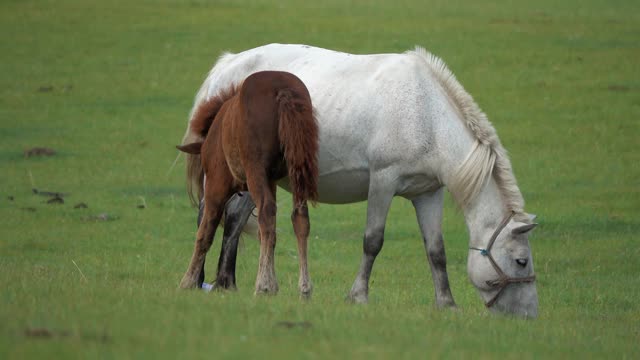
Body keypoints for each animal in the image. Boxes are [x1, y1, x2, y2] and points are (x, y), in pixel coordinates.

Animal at [179, 43, 540, 316]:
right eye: (521, 261)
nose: (529, 315)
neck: (425, 112)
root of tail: (227, 66)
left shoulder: (428, 193)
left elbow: (436, 250)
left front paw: (446, 303)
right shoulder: (383, 181)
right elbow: (373, 241)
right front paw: (358, 295)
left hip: (254, 179)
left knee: (234, 220)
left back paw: (226, 283)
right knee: (208, 218)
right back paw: (198, 281)